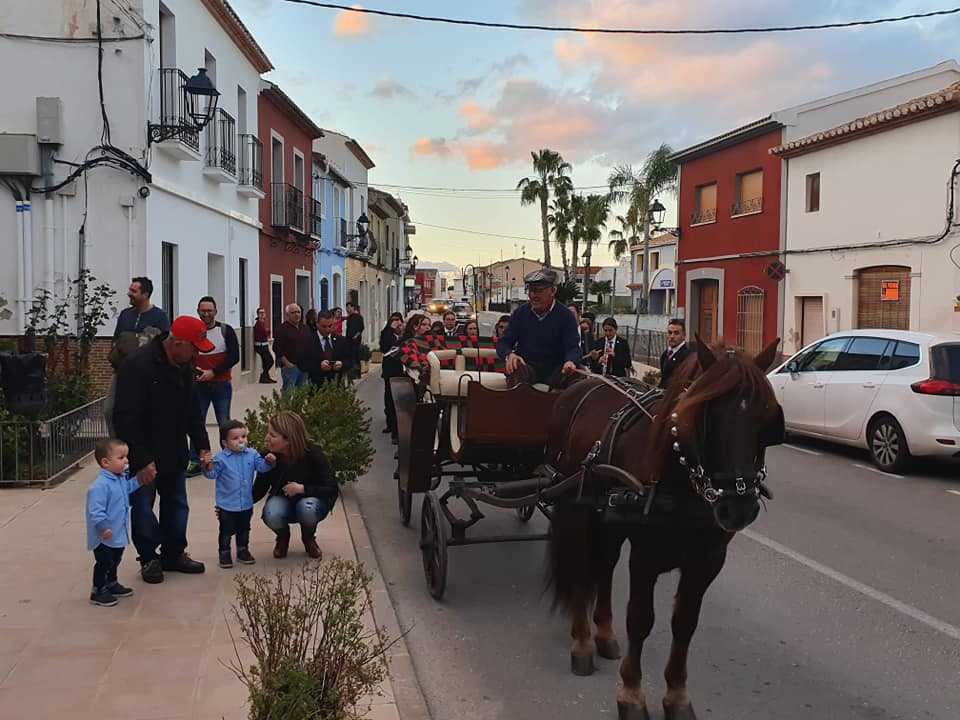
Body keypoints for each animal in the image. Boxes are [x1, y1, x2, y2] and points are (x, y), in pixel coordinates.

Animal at [544, 338, 784, 720]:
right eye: (705, 414)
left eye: (767, 417)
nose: (739, 508)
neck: (679, 475)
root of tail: (579, 384)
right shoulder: (645, 557)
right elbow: (641, 619)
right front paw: (631, 693)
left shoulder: (707, 561)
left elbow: (684, 623)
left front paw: (677, 694)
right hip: (575, 509)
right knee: (581, 568)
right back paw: (582, 641)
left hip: (608, 520)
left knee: (604, 566)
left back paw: (604, 632)